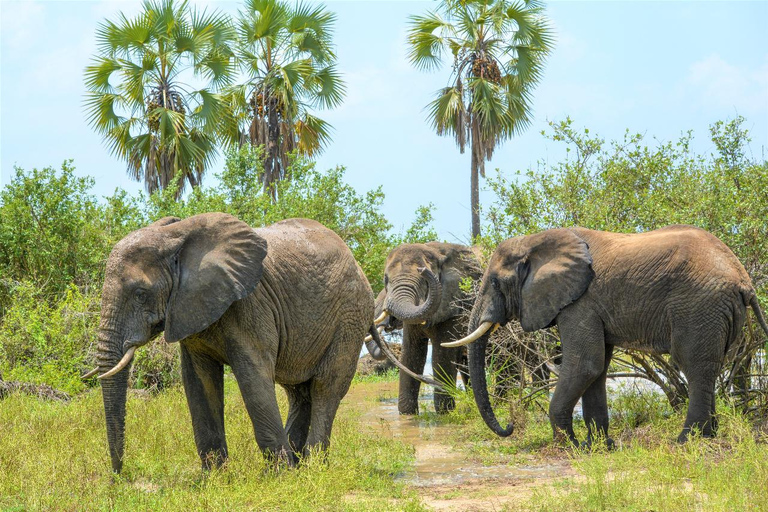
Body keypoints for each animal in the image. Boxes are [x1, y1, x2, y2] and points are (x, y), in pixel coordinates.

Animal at [87, 212, 380, 472]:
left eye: (140, 294)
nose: (118, 475)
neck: (176, 236)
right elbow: (199, 382)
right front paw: (215, 478)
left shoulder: (250, 305)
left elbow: (253, 378)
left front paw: (278, 477)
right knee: (299, 391)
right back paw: (298, 465)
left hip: (350, 317)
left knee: (325, 387)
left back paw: (313, 468)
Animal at [376, 242, 484, 414]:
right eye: (386, 279)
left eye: (423, 281)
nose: (423, 270)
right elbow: (411, 353)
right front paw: (407, 415)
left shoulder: (455, 302)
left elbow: (442, 354)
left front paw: (445, 412)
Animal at [444, 226, 768, 446]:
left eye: (495, 282)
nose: (510, 426)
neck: (536, 241)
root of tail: (744, 280)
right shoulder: (591, 305)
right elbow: (597, 368)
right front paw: (598, 446)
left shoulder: (580, 302)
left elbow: (584, 364)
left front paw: (569, 446)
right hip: (715, 312)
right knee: (711, 366)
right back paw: (710, 436)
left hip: (699, 307)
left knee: (694, 364)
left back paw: (686, 441)